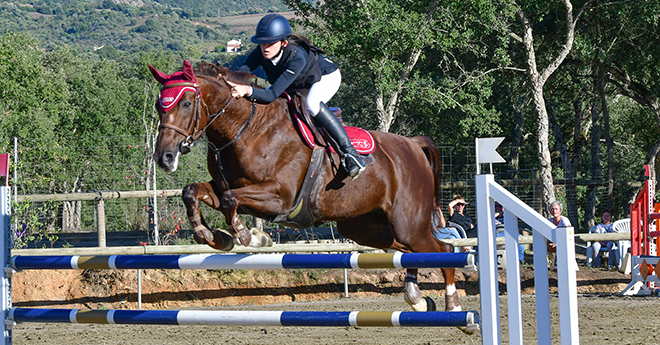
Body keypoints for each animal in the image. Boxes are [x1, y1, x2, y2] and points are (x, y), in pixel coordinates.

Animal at [151, 59, 464, 320]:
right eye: (158, 106)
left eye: (186, 104)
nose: (164, 158)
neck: (247, 129)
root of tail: (413, 145)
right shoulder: (224, 187)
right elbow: (192, 191)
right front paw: (212, 236)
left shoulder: (280, 198)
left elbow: (230, 201)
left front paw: (249, 237)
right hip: (367, 227)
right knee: (410, 251)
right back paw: (417, 299)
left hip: (407, 222)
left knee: (443, 249)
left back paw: (453, 306)